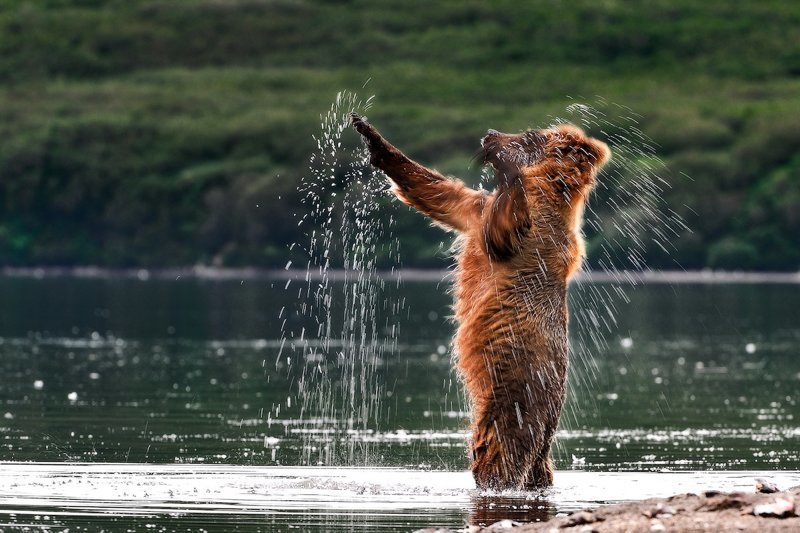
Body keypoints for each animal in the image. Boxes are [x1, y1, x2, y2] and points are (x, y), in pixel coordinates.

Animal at [354, 113, 608, 490]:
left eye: (531, 134)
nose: (490, 134)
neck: (548, 188)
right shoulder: (477, 207)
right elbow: (440, 194)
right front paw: (372, 138)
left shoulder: (538, 235)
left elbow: (506, 231)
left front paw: (507, 165)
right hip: (540, 421)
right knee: (538, 465)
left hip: (516, 389)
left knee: (499, 448)